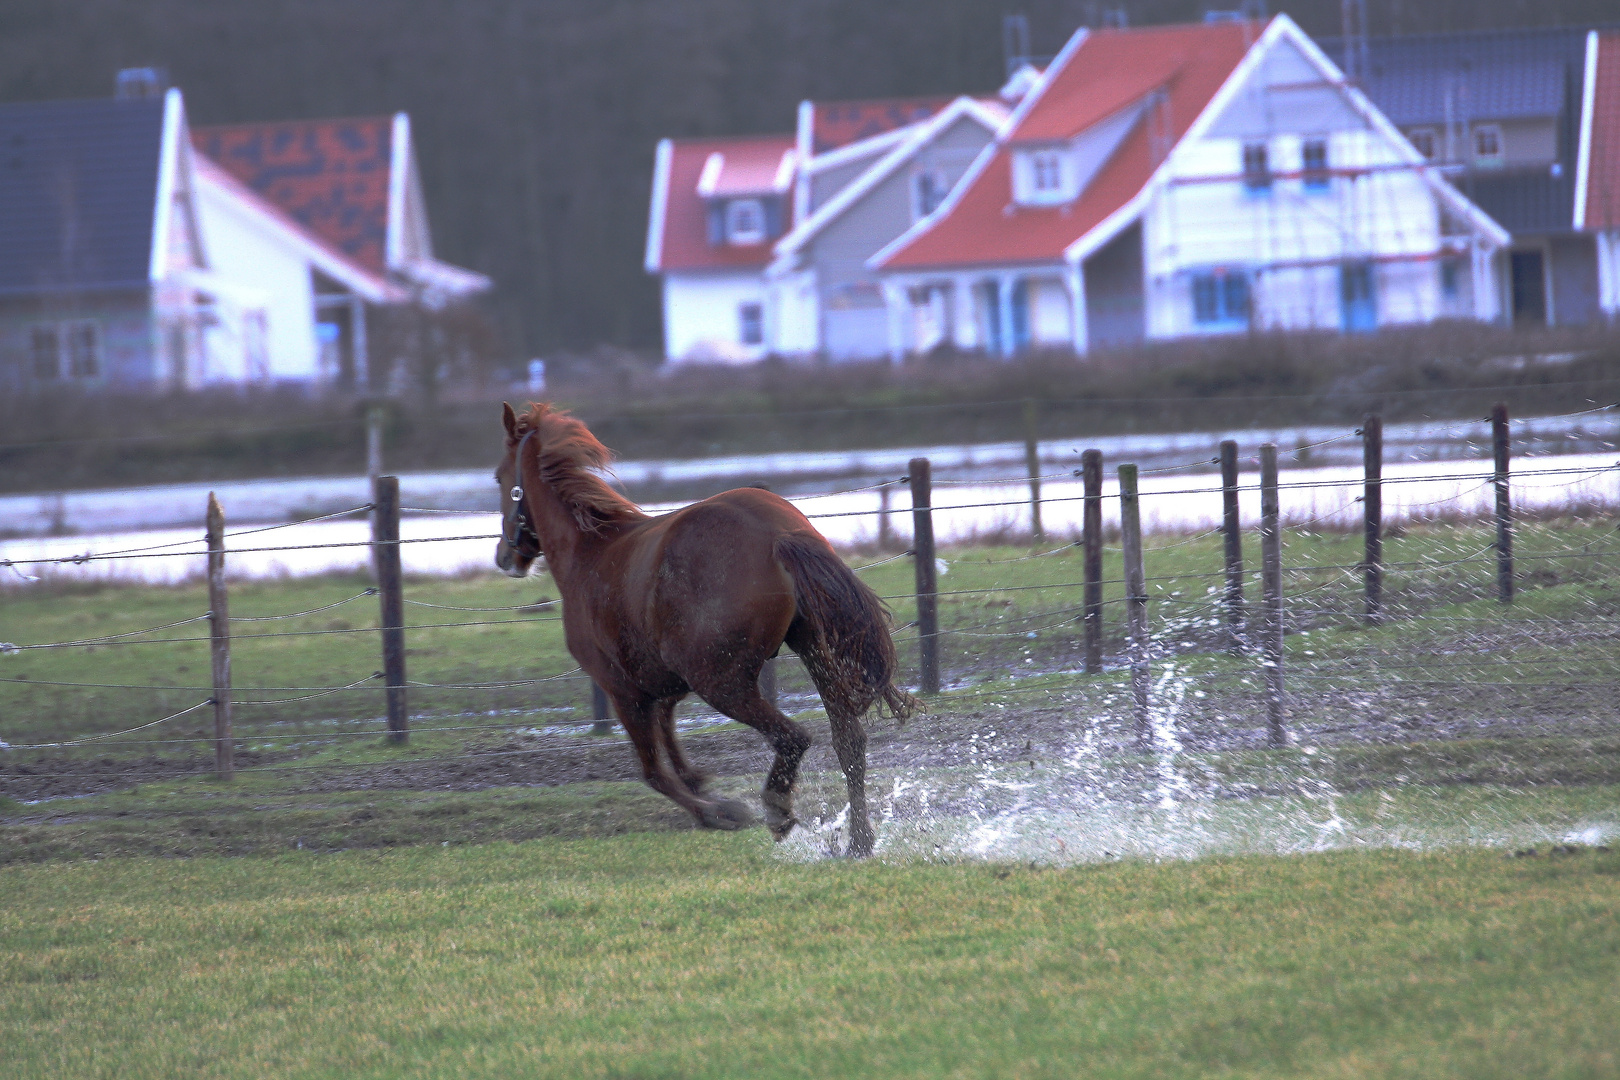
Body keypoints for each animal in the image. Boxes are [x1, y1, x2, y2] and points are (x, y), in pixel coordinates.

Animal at [492, 401, 920, 854]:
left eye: (500, 477)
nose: (504, 557)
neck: (590, 553)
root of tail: (779, 533)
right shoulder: (662, 686)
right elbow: (672, 747)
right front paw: (703, 787)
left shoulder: (623, 691)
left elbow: (655, 773)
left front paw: (719, 812)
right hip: (811, 649)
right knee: (848, 740)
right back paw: (859, 842)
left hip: (721, 683)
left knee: (794, 737)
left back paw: (777, 811)